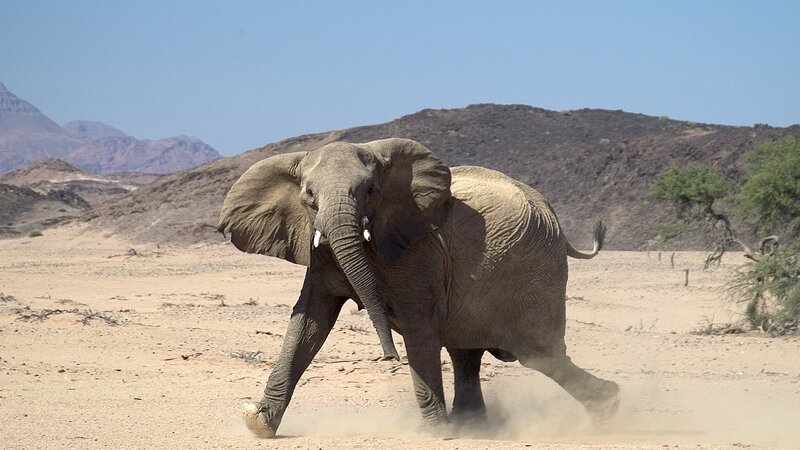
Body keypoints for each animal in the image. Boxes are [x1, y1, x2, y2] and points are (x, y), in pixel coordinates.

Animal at [219, 136, 620, 436]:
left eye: (370, 190)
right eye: (308, 196)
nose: (388, 356)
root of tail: (555, 217)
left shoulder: (419, 249)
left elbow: (418, 325)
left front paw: (435, 433)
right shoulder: (317, 251)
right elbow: (308, 323)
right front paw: (258, 422)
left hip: (534, 269)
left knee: (539, 354)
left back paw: (609, 407)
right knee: (466, 351)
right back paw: (472, 427)